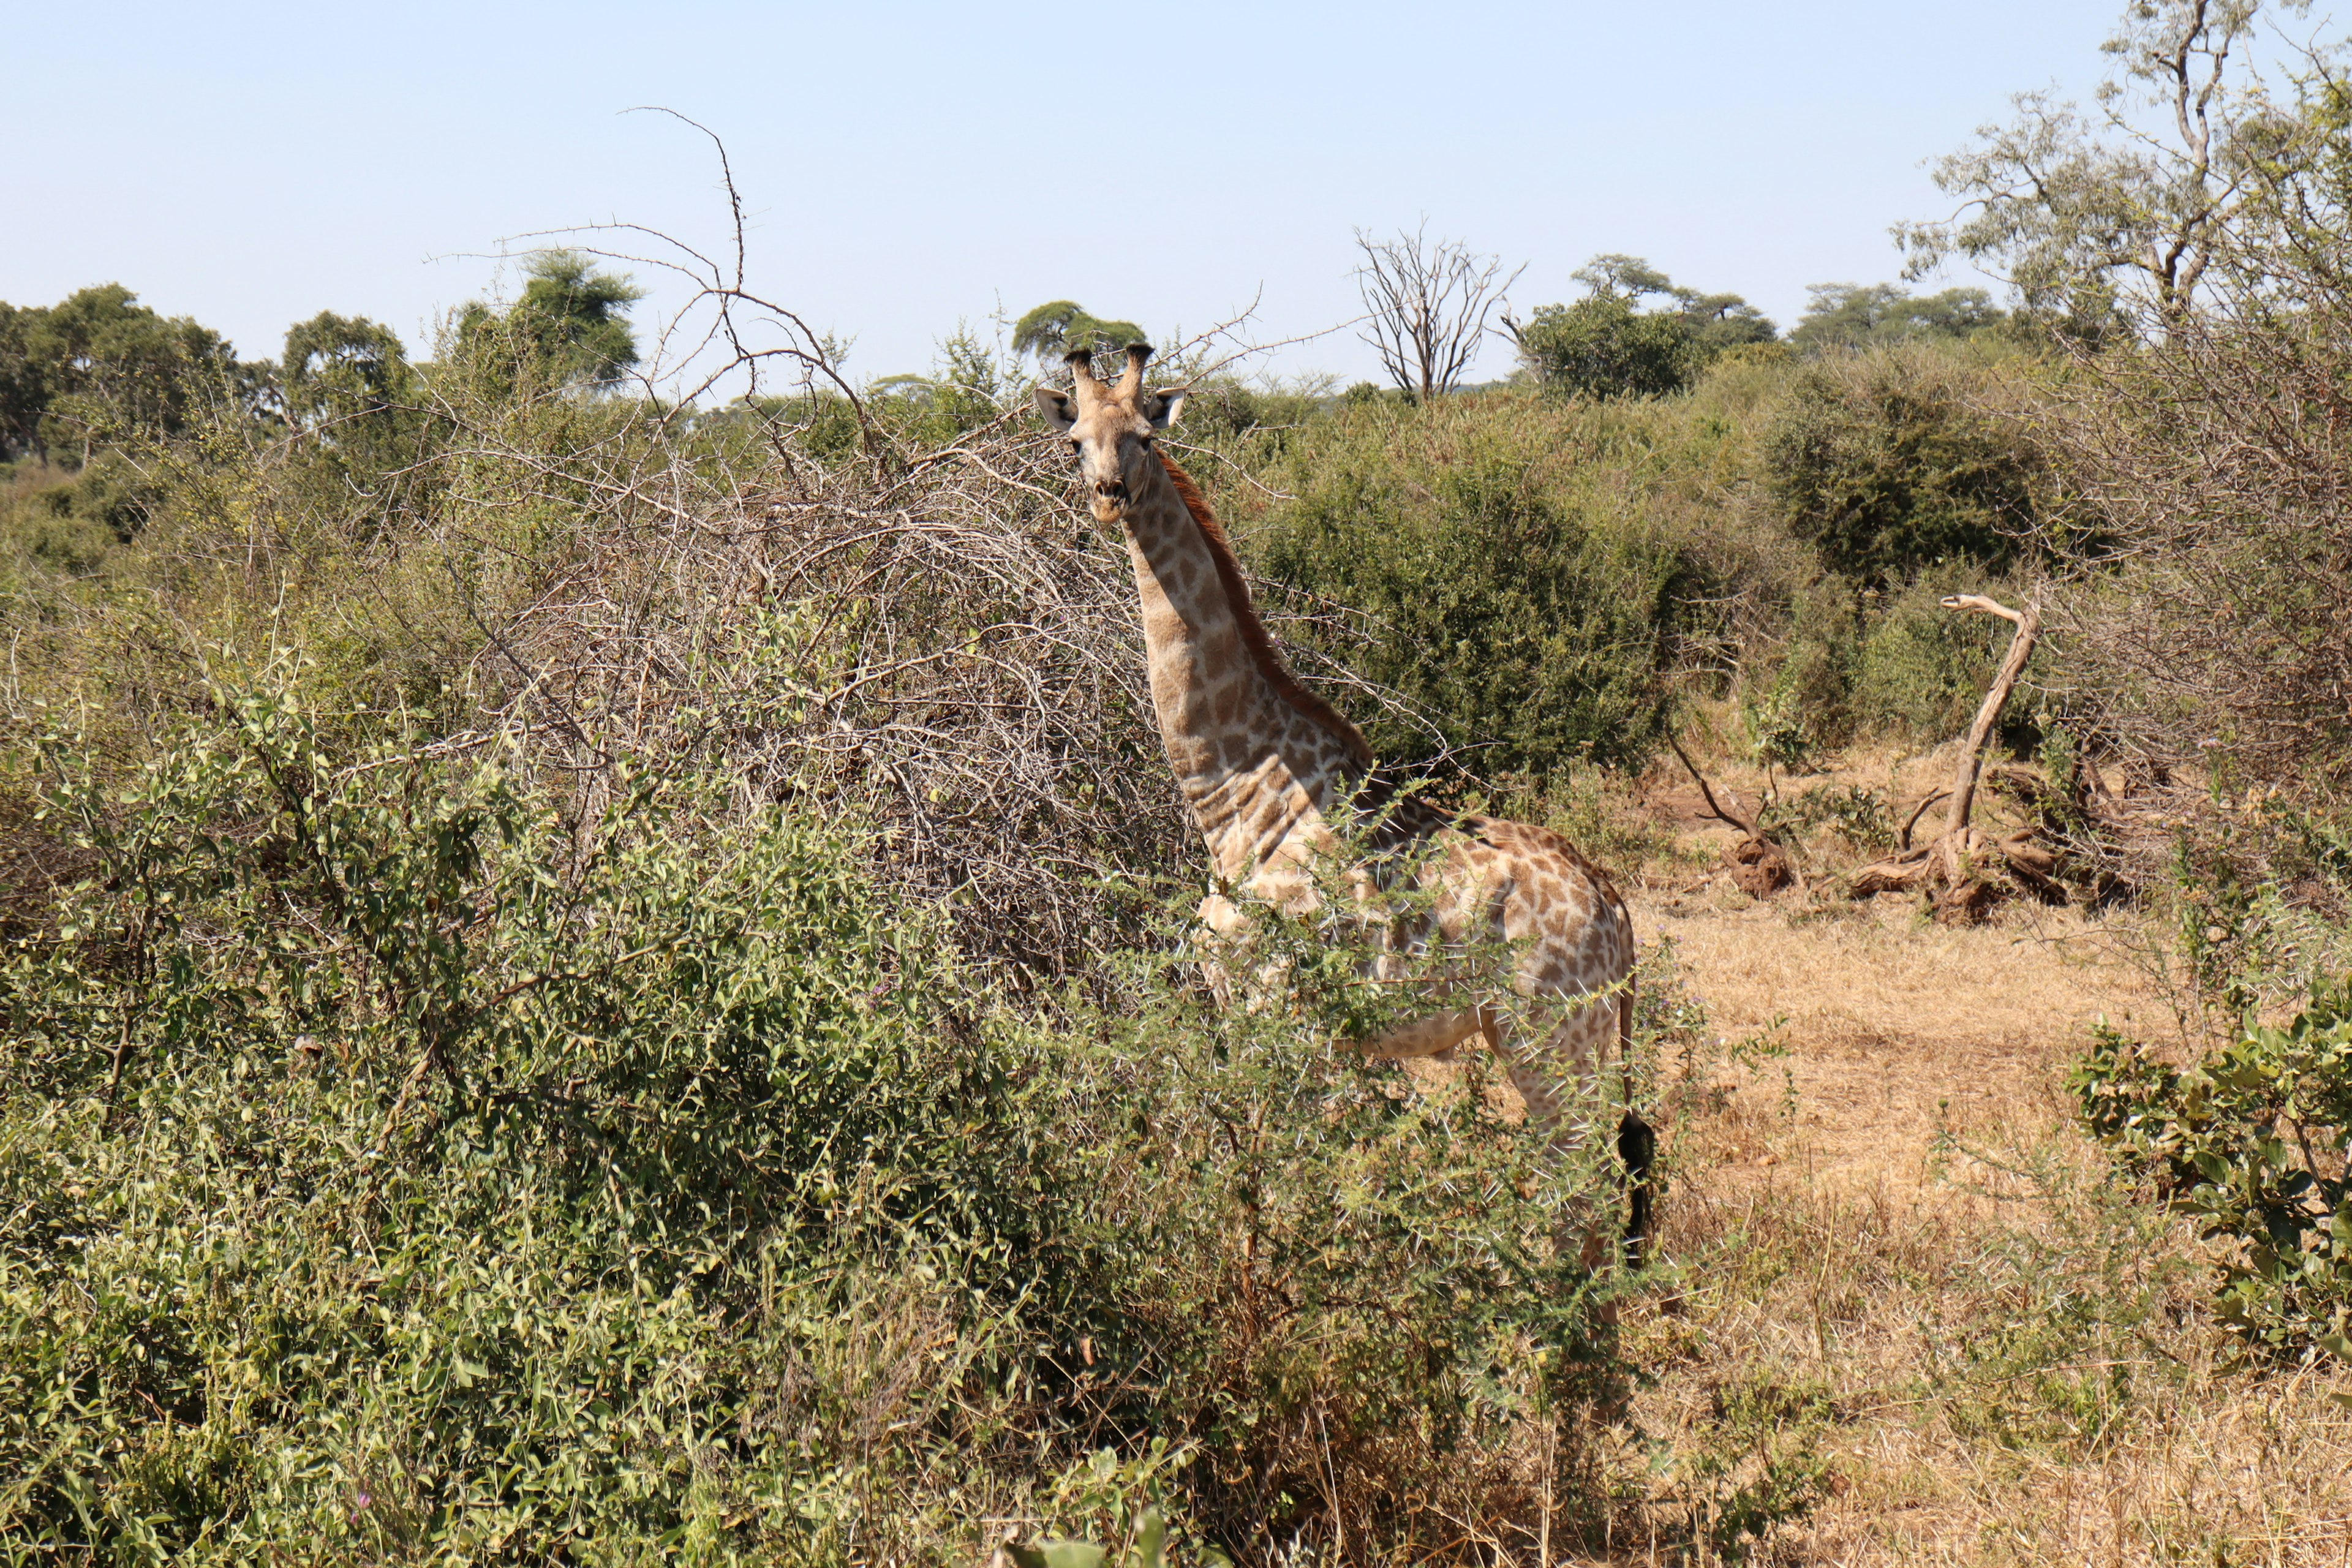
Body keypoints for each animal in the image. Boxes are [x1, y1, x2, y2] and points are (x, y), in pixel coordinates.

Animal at [1030, 343, 1656, 1260]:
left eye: (1146, 435)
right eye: (1076, 440)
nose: (1109, 496)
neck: (1236, 795)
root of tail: (1614, 905)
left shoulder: (1276, 1005)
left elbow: (1278, 1176)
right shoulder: (1266, 1016)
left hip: (1550, 1031)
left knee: (1586, 1186)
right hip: (1559, 1032)